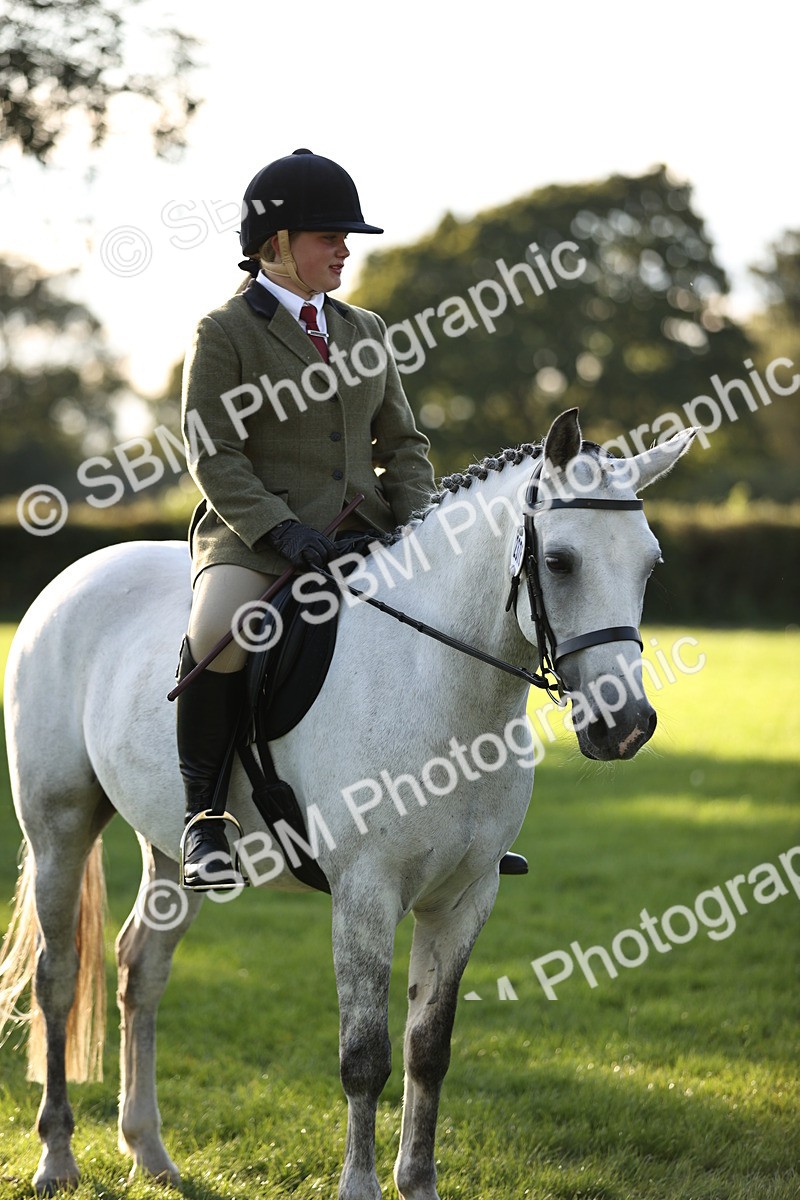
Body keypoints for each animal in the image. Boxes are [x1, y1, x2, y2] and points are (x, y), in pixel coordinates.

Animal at [0, 408, 695, 1199]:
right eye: (561, 561)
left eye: (649, 565)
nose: (626, 724)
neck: (439, 681)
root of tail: (75, 574)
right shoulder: (365, 894)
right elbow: (365, 1055)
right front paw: (359, 1187)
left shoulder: (465, 897)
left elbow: (428, 1049)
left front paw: (418, 1183)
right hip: (58, 826)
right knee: (57, 976)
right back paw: (57, 1157)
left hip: (171, 855)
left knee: (140, 969)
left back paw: (150, 1152)